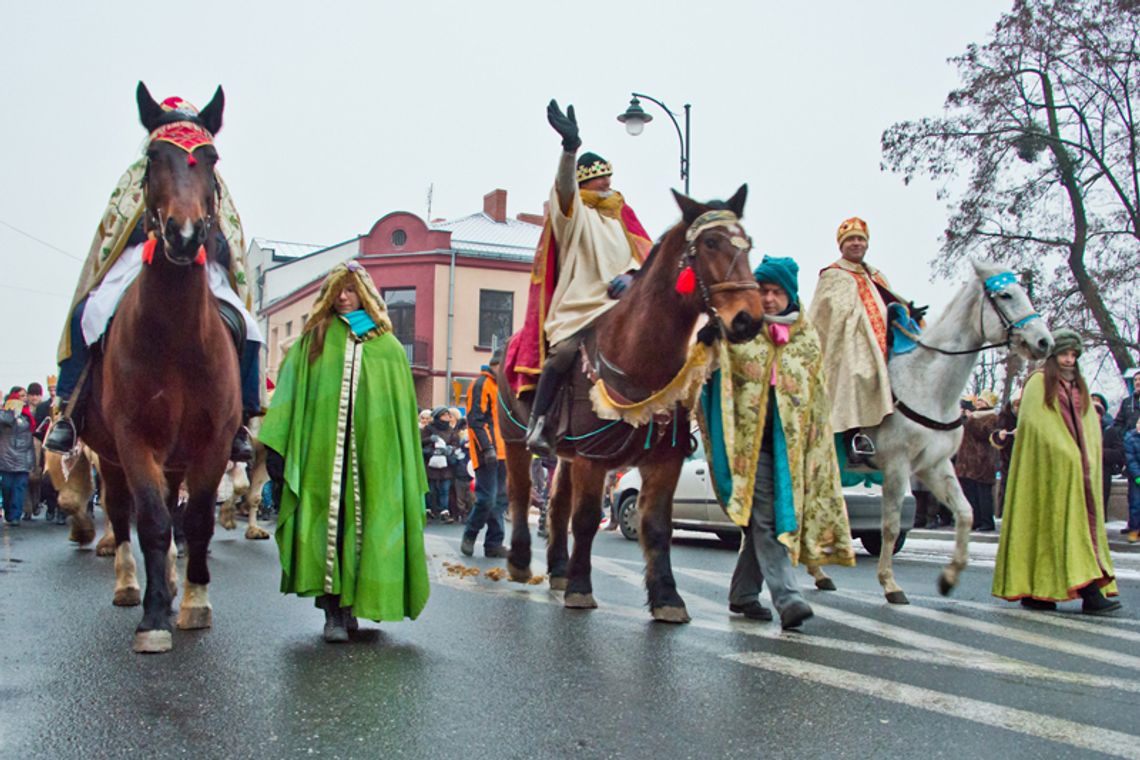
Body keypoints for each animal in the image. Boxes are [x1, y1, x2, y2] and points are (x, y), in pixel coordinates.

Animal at [80, 84, 242, 656]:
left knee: (175, 512)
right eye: (154, 157)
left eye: (210, 158)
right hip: (108, 455)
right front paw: (153, 617)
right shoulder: (133, 439)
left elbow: (196, 521)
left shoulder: (213, 442)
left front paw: (194, 601)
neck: (176, 339)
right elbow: (149, 522)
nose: (186, 234)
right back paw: (133, 584)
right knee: (122, 512)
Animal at [501, 185, 761, 624]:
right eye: (710, 243)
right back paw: (521, 562)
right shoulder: (591, 459)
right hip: (517, 442)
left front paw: (667, 597)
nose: (748, 319)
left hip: (564, 456)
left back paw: (557, 568)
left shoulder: (663, 462)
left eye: (749, 243)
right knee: (521, 494)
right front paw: (580, 588)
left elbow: (655, 526)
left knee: (555, 506)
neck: (640, 360)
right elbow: (586, 520)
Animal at [807, 262, 1053, 606]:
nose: (1044, 342)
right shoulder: (897, 465)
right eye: (1005, 294)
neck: (927, 385)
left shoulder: (934, 465)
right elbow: (890, 526)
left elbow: (965, 512)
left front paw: (949, 578)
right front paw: (890, 584)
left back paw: (819, 573)